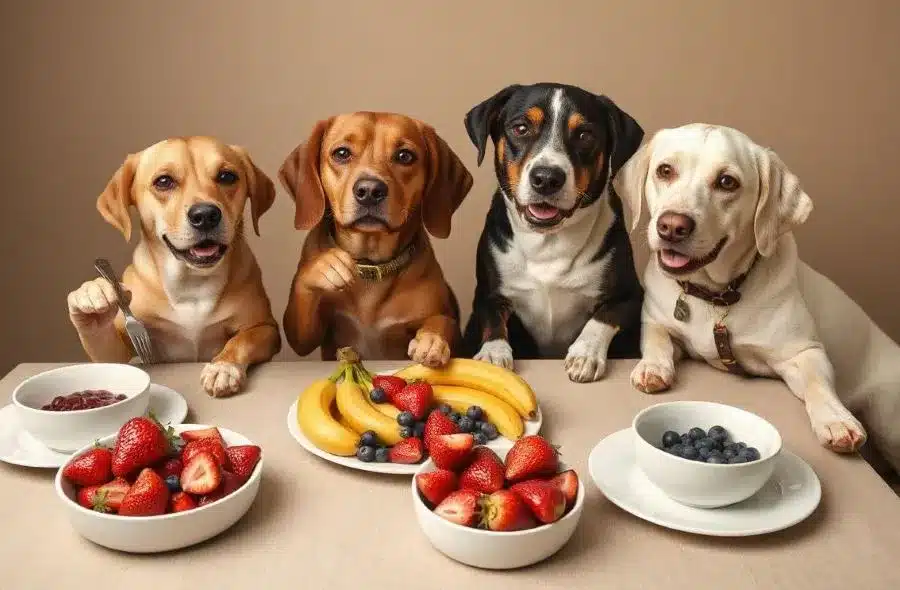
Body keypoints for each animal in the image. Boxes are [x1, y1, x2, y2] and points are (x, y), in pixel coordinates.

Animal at [67, 136, 282, 400]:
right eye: (163, 181)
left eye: (227, 176)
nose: (206, 215)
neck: (192, 282)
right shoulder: (126, 345)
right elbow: (109, 353)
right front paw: (91, 293)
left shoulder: (265, 328)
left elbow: (242, 341)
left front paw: (223, 367)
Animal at [280, 112, 478, 366]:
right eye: (341, 153)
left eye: (405, 156)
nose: (370, 191)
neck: (371, 264)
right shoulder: (304, 335)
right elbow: (301, 319)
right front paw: (325, 266)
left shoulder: (442, 317)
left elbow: (442, 322)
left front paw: (432, 339)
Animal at [460, 83, 644, 384]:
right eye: (521, 128)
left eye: (584, 135)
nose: (546, 178)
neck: (547, 244)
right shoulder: (487, 292)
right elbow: (492, 321)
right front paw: (493, 354)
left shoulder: (630, 296)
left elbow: (602, 318)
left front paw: (584, 355)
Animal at [616, 125, 900, 476]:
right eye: (665, 171)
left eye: (727, 182)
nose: (671, 226)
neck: (716, 295)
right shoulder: (657, 321)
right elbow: (657, 341)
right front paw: (652, 368)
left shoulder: (803, 353)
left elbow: (817, 384)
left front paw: (835, 420)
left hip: (889, 418)